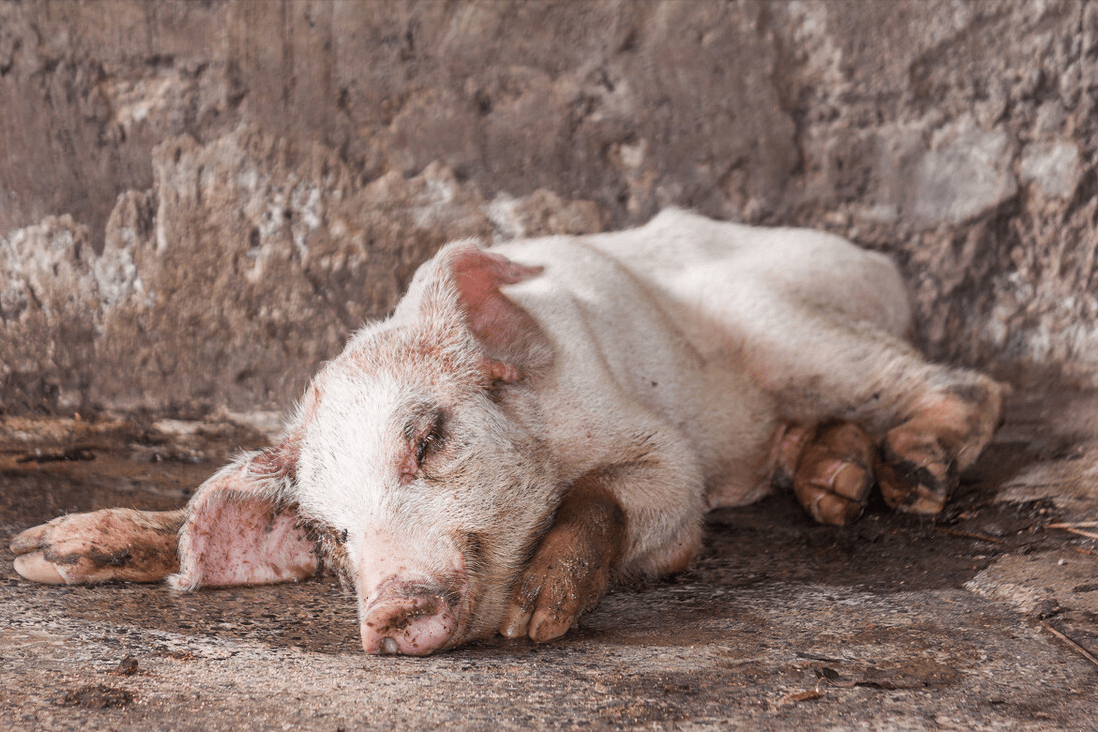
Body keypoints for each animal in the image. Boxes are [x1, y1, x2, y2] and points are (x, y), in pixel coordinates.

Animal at [8, 207, 1005, 658]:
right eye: (332, 535)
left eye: (427, 437)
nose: (387, 608)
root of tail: (876, 265)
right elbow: (182, 522)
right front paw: (36, 556)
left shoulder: (664, 459)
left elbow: (618, 494)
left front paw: (536, 618)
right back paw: (837, 492)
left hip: (792, 332)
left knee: (963, 383)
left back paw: (913, 481)